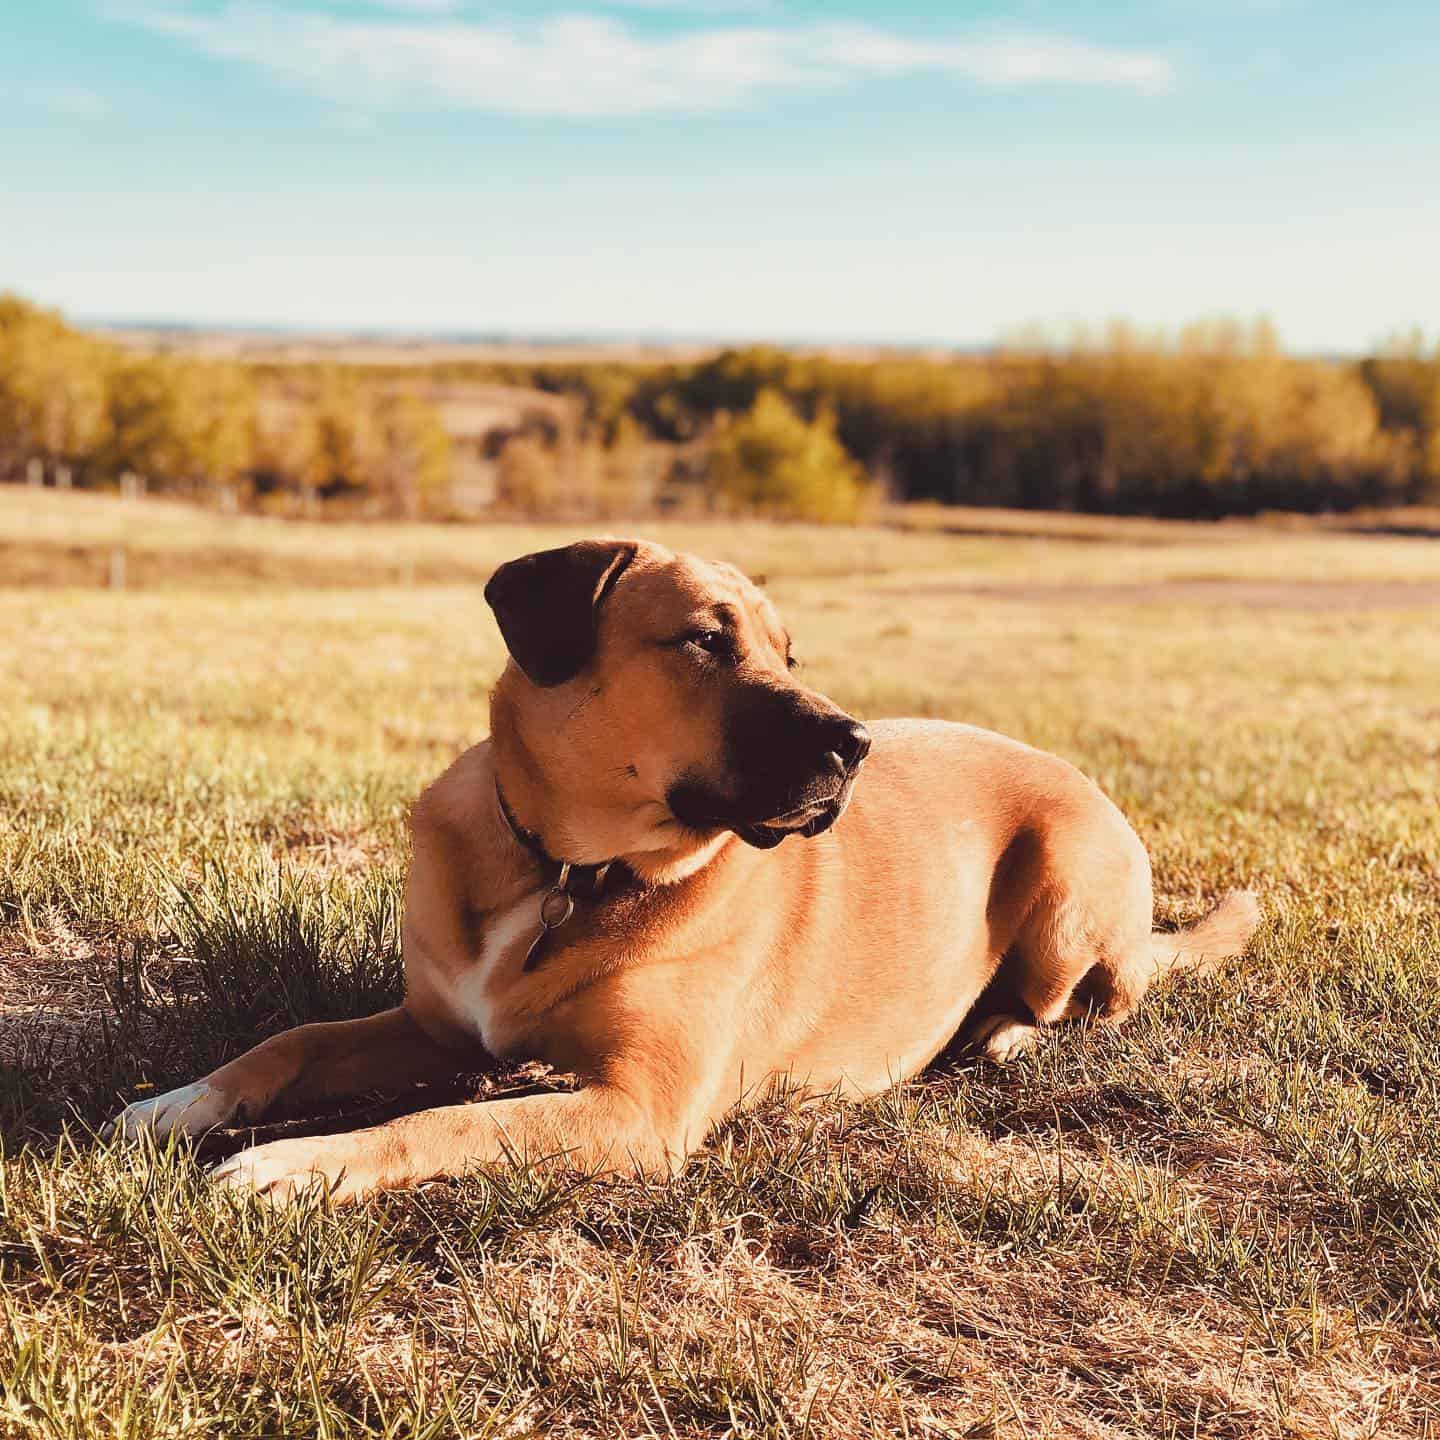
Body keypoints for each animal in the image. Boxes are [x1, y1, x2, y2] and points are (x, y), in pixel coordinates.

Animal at [112, 535, 1261, 1198]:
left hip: (1066, 888)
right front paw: (181, 1103)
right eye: (706, 640)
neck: (569, 874)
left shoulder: (636, 1107)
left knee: (1102, 999)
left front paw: (289, 1166)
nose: (855, 747)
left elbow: (432, 1121)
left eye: (788, 654)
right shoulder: (435, 1025)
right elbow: (291, 1041)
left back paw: (1010, 1033)